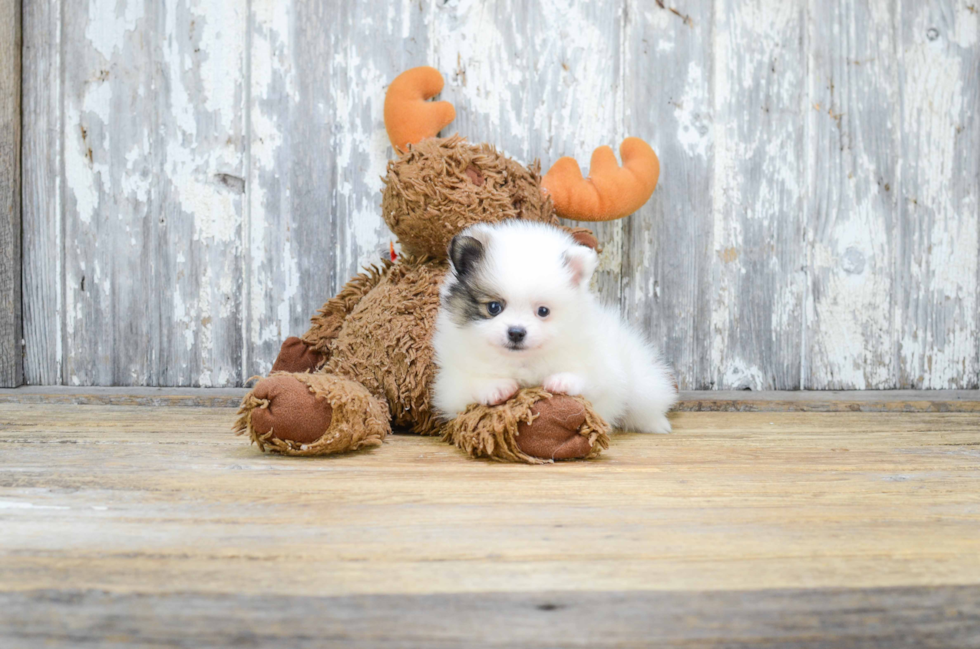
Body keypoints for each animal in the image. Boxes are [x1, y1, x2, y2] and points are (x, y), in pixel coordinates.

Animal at [432, 220, 676, 432]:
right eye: (493, 307)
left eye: (543, 311)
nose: (516, 332)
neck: (524, 363)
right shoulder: (450, 385)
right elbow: (469, 386)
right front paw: (496, 387)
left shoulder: (605, 370)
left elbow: (590, 379)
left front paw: (561, 381)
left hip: (641, 383)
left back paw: (657, 424)